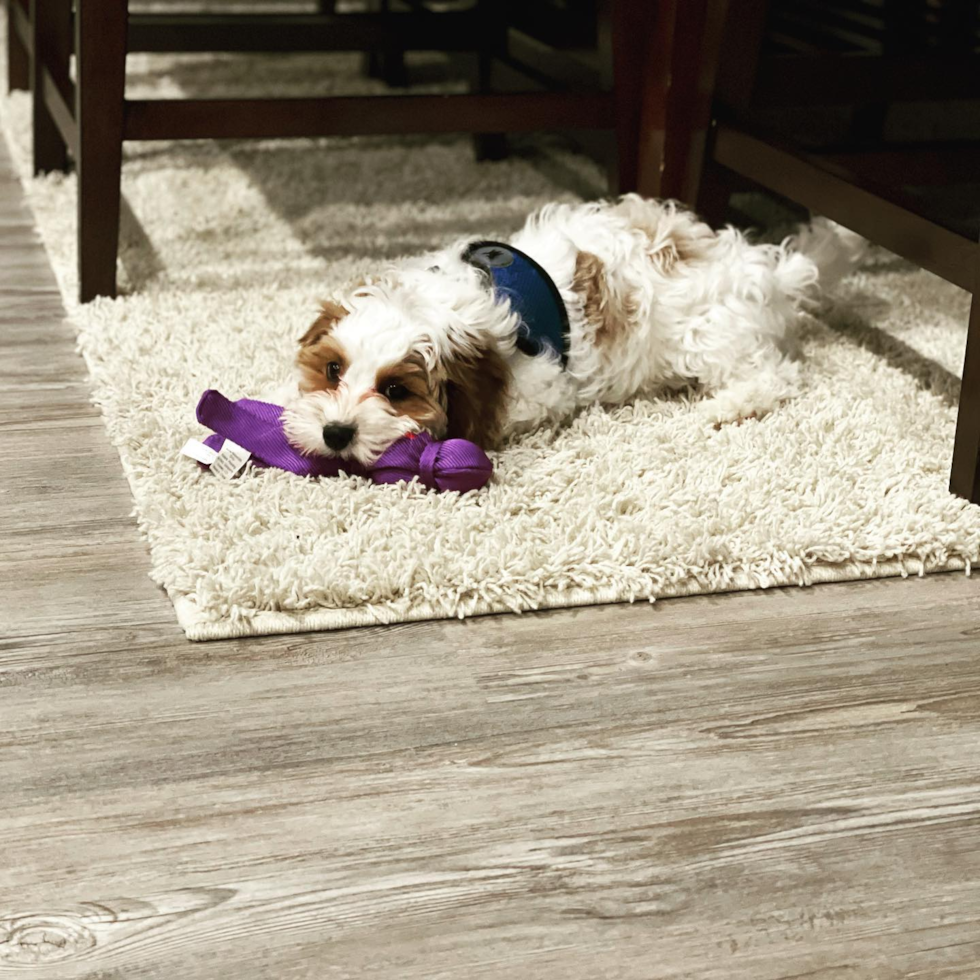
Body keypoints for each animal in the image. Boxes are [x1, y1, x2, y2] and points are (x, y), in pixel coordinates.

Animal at [280, 195, 860, 468]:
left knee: (775, 376)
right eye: (332, 369)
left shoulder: (543, 388)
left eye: (397, 390)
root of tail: (769, 271)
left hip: (710, 335)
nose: (336, 433)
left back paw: (725, 408)